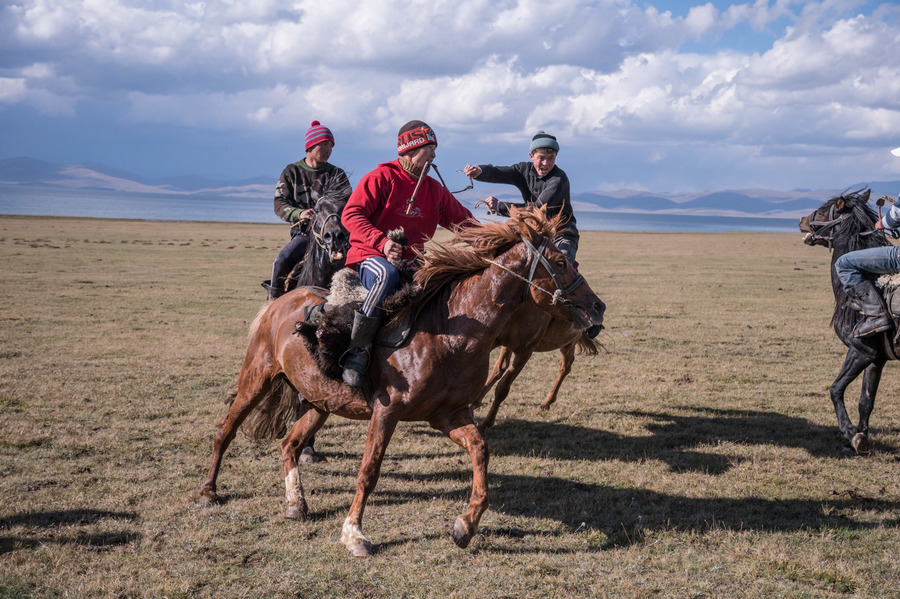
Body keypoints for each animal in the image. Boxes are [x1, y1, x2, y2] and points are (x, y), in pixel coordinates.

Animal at [197, 207, 604, 556]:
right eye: (561, 261)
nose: (598, 306)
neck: (450, 331)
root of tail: (282, 300)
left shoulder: (450, 415)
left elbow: (480, 451)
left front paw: (465, 525)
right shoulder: (386, 411)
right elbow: (369, 472)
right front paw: (354, 534)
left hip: (319, 402)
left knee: (290, 444)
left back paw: (296, 503)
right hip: (256, 378)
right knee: (225, 430)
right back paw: (209, 492)